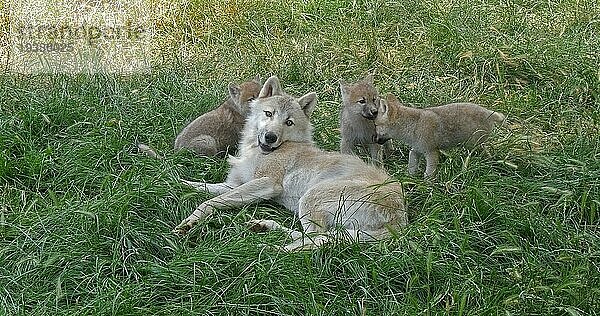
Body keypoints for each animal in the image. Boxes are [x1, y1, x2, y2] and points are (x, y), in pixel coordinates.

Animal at [173, 76, 408, 249]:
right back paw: (265, 226)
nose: (270, 137)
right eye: (268, 114)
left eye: (289, 122)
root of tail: (400, 219)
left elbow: (210, 201)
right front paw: (173, 182)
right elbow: (203, 188)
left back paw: (271, 251)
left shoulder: (267, 183)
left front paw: (190, 222)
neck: (257, 151)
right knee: (318, 236)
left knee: (316, 240)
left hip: (310, 197)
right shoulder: (235, 185)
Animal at [376, 93, 506, 178]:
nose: (374, 140)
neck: (415, 126)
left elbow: (428, 175)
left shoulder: (432, 153)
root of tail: (489, 112)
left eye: (375, 126)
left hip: (473, 146)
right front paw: (409, 181)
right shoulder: (415, 151)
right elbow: (411, 169)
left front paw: (427, 190)